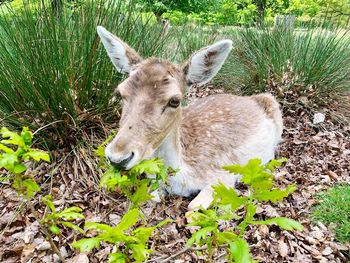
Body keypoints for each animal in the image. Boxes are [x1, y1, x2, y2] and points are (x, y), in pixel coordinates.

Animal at [97, 25, 284, 211]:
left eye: (175, 101)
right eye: (120, 93)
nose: (118, 158)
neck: (181, 177)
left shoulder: (223, 175)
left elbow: (193, 206)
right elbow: (151, 196)